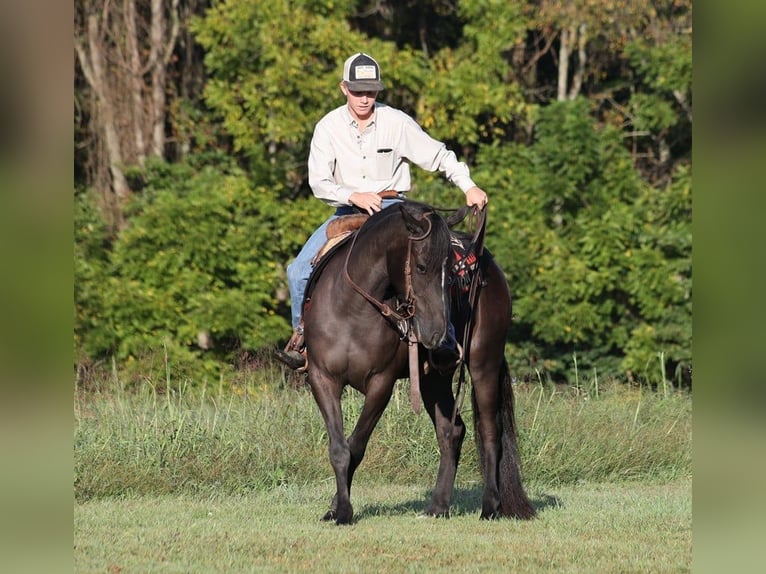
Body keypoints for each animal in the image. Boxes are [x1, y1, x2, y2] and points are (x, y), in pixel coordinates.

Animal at [301, 200, 535, 524]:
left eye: (450, 272)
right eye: (422, 267)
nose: (438, 334)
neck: (352, 309)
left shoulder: (381, 384)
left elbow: (356, 446)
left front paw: (344, 510)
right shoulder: (323, 379)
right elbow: (339, 448)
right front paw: (336, 509)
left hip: (483, 364)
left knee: (490, 432)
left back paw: (490, 506)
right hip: (433, 379)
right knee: (452, 431)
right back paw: (438, 506)